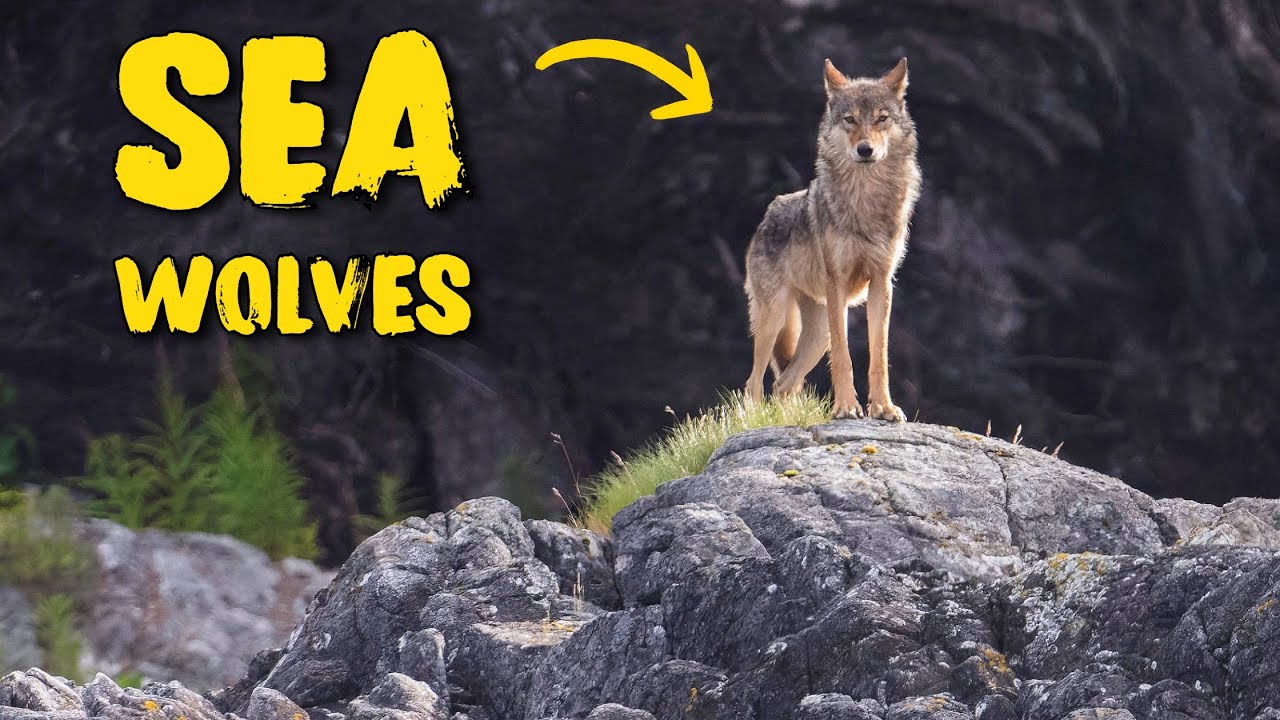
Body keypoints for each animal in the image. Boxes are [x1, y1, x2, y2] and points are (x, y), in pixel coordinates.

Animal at [744, 57, 921, 421]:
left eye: (881, 118)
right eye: (849, 119)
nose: (865, 150)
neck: (866, 201)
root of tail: (769, 213)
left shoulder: (882, 284)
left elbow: (879, 356)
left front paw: (883, 407)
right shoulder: (837, 283)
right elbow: (844, 357)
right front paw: (846, 408)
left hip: (816, 335)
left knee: (783, 384)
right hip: (774, 319)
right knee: (753, 383)